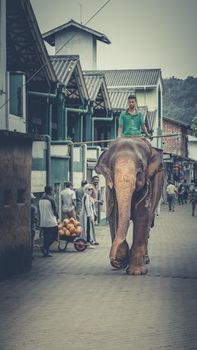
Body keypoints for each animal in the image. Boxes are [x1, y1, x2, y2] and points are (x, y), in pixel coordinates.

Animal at [95, 137, 163, 276]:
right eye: (111, 166)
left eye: (141, 165)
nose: (112, 259)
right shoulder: (110, 190)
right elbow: (114, 216)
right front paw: (121, 259)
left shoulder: (149, 183)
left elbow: (142, 216)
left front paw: (136, 272)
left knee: (149, 223)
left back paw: (145, 260)